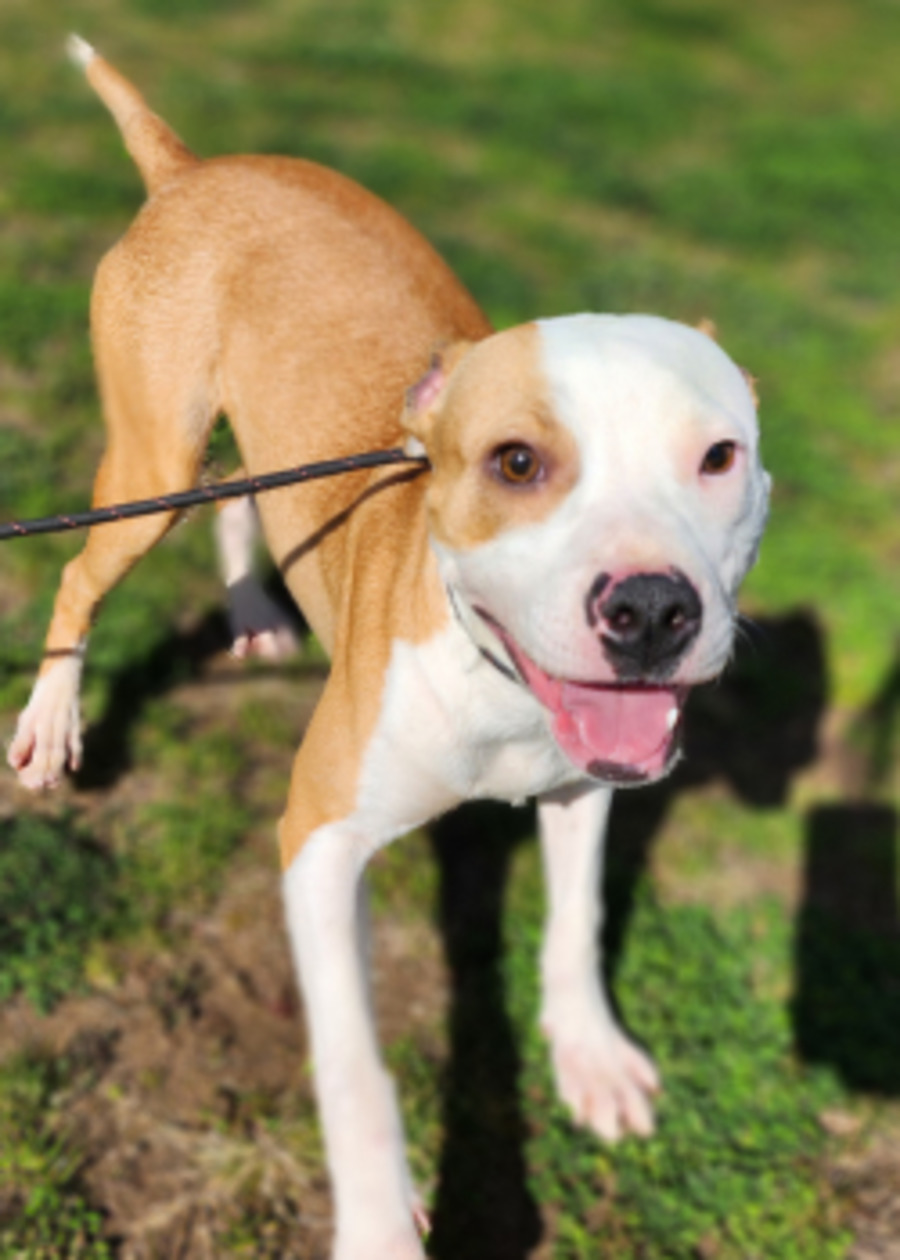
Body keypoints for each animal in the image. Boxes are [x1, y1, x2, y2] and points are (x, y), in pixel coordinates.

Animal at [8, 39, 770, 1259]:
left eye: (719, 456)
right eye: (515, 463)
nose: (653, 610)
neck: (491, 677)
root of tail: (188, 170)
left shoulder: (584, 785)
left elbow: (575, 918)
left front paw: (593, 1057)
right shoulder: (319, 838)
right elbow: (356, 1066)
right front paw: (378, 1218)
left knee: (242, 496)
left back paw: (248, 607)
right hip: (150, 463)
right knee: (84, 572)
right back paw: (50, 722)